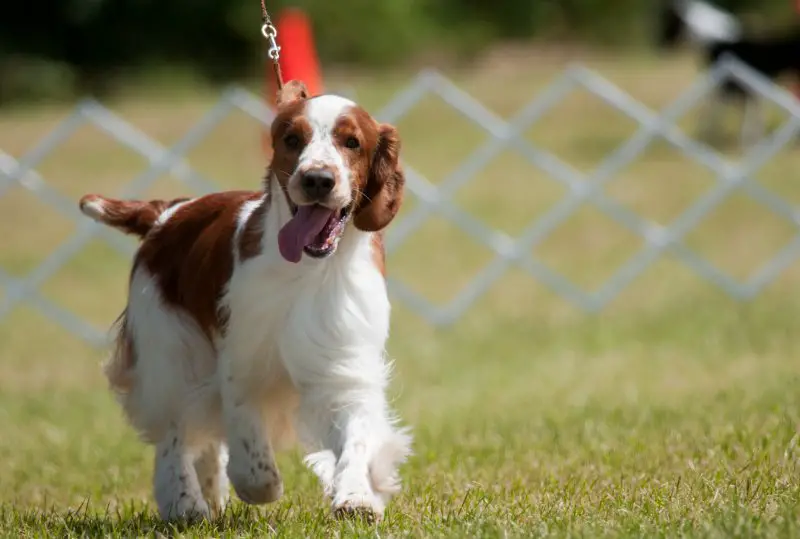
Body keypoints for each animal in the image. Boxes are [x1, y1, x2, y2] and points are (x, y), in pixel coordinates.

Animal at [78, 80, 412, 524]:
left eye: (352, 142)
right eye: (292, 139)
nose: (317, 180)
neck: (308, 269)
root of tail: (167, 213)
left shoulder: (343, 364)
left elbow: (356, 438)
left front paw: (356, 497)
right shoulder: (243, 361)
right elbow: (253, 462)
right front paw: (258, 484)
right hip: (169, 348)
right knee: (173, 432)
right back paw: (184, 503)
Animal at [656, 0, 800, 148]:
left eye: (669, 18)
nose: (662, 44)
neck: (714, 43)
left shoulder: (727, 90)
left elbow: (712, 115)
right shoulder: (740, 92)